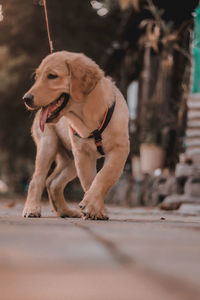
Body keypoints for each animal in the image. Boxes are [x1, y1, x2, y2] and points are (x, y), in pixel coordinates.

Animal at [22, 51, 130, 220]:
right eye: (37, 77)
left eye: (52, 76)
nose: (26, 98)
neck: (89, 116)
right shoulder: (83, 154)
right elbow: (89, 181)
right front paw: (94, 209)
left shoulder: (119, 149)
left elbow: (104, 175)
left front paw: (93, 207)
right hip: (48, 145)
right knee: (37, 179)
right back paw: (31, 209)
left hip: (70, 160)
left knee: (52, 182)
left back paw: (65, 211)